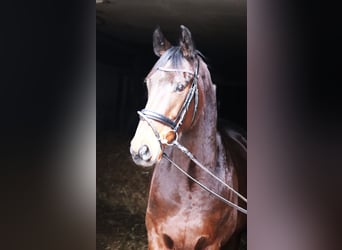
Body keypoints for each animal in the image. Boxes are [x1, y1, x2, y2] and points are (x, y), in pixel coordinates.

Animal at [129, 25, 246, 250]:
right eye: (148, 83)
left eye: (181, 86)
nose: (141, 149)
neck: (189, 188)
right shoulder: (157, 238)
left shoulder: (212, 244)